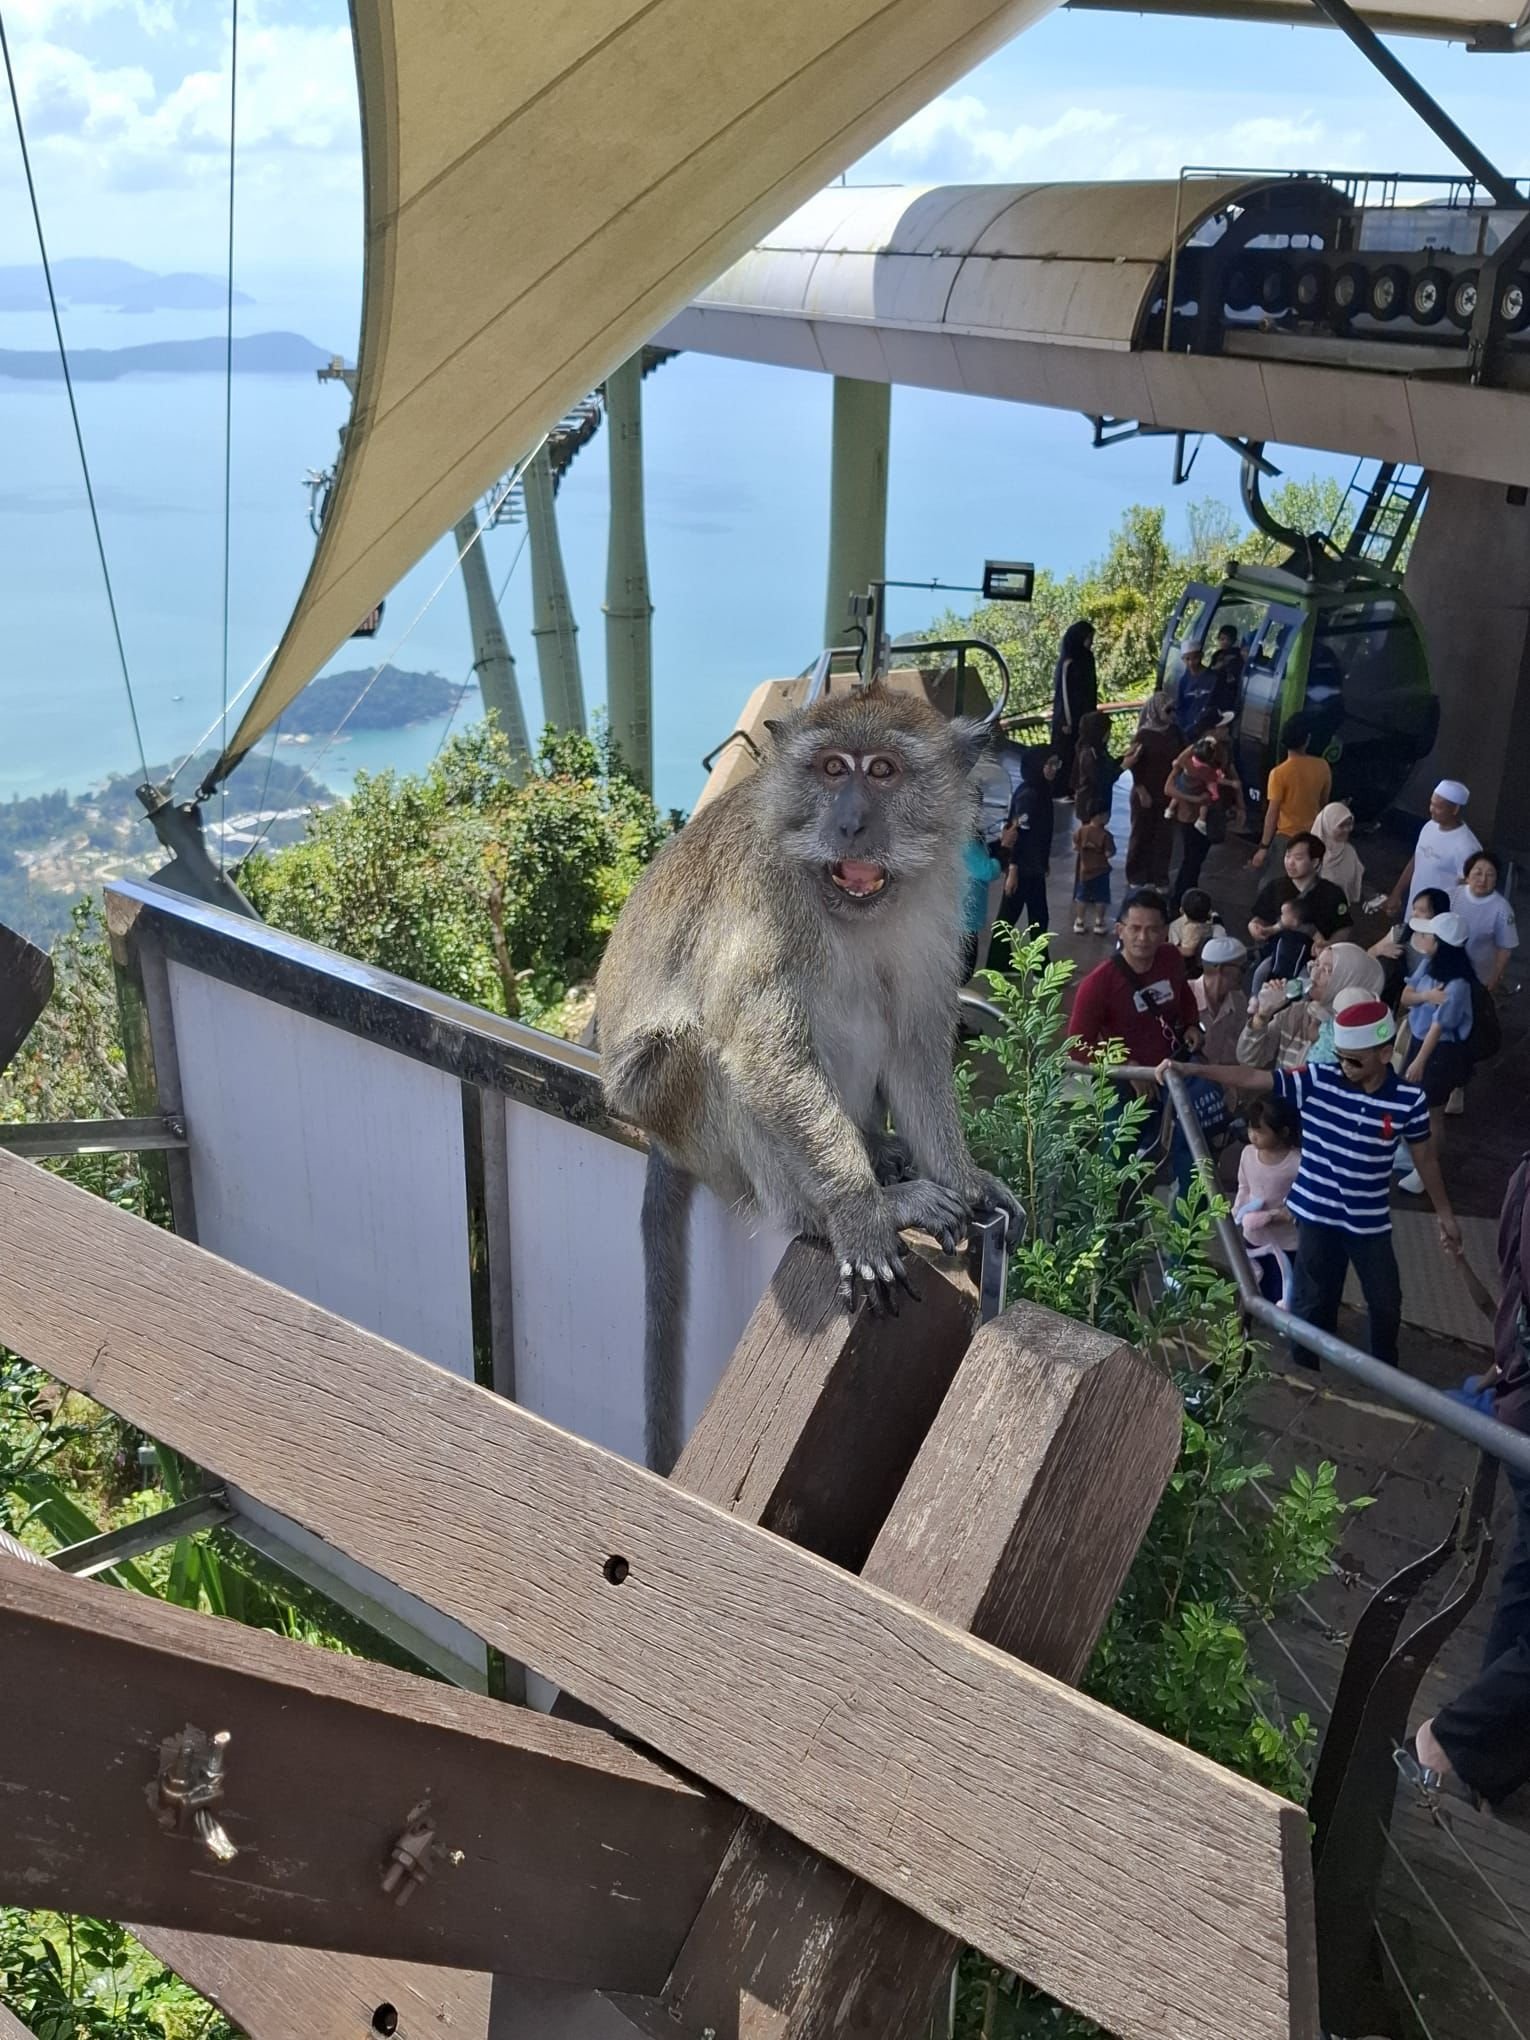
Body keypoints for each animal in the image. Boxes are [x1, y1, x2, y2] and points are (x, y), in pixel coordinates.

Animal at [595, 682, 1023, 1474]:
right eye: (830, 769)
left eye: (881, 770)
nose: (848, 823)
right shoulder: (768, 902)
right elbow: (762, 1046)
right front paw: (857, 1211)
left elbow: (915, 1042)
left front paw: (964, 1177)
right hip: (670, 1108)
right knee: (713, 1051)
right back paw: (829, 1209)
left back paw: (879, 1149)